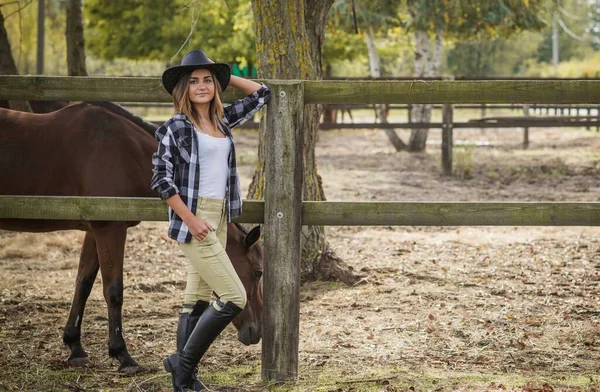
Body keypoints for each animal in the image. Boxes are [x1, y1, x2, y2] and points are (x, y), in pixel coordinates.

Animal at [0, 102, 262, 376]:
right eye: (258, 272)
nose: (255, 332)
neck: (124, 150)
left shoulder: (94, 231)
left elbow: (83, 283)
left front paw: (75, 346)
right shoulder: (110, 230)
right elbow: (113, 291)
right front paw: (123, 355)